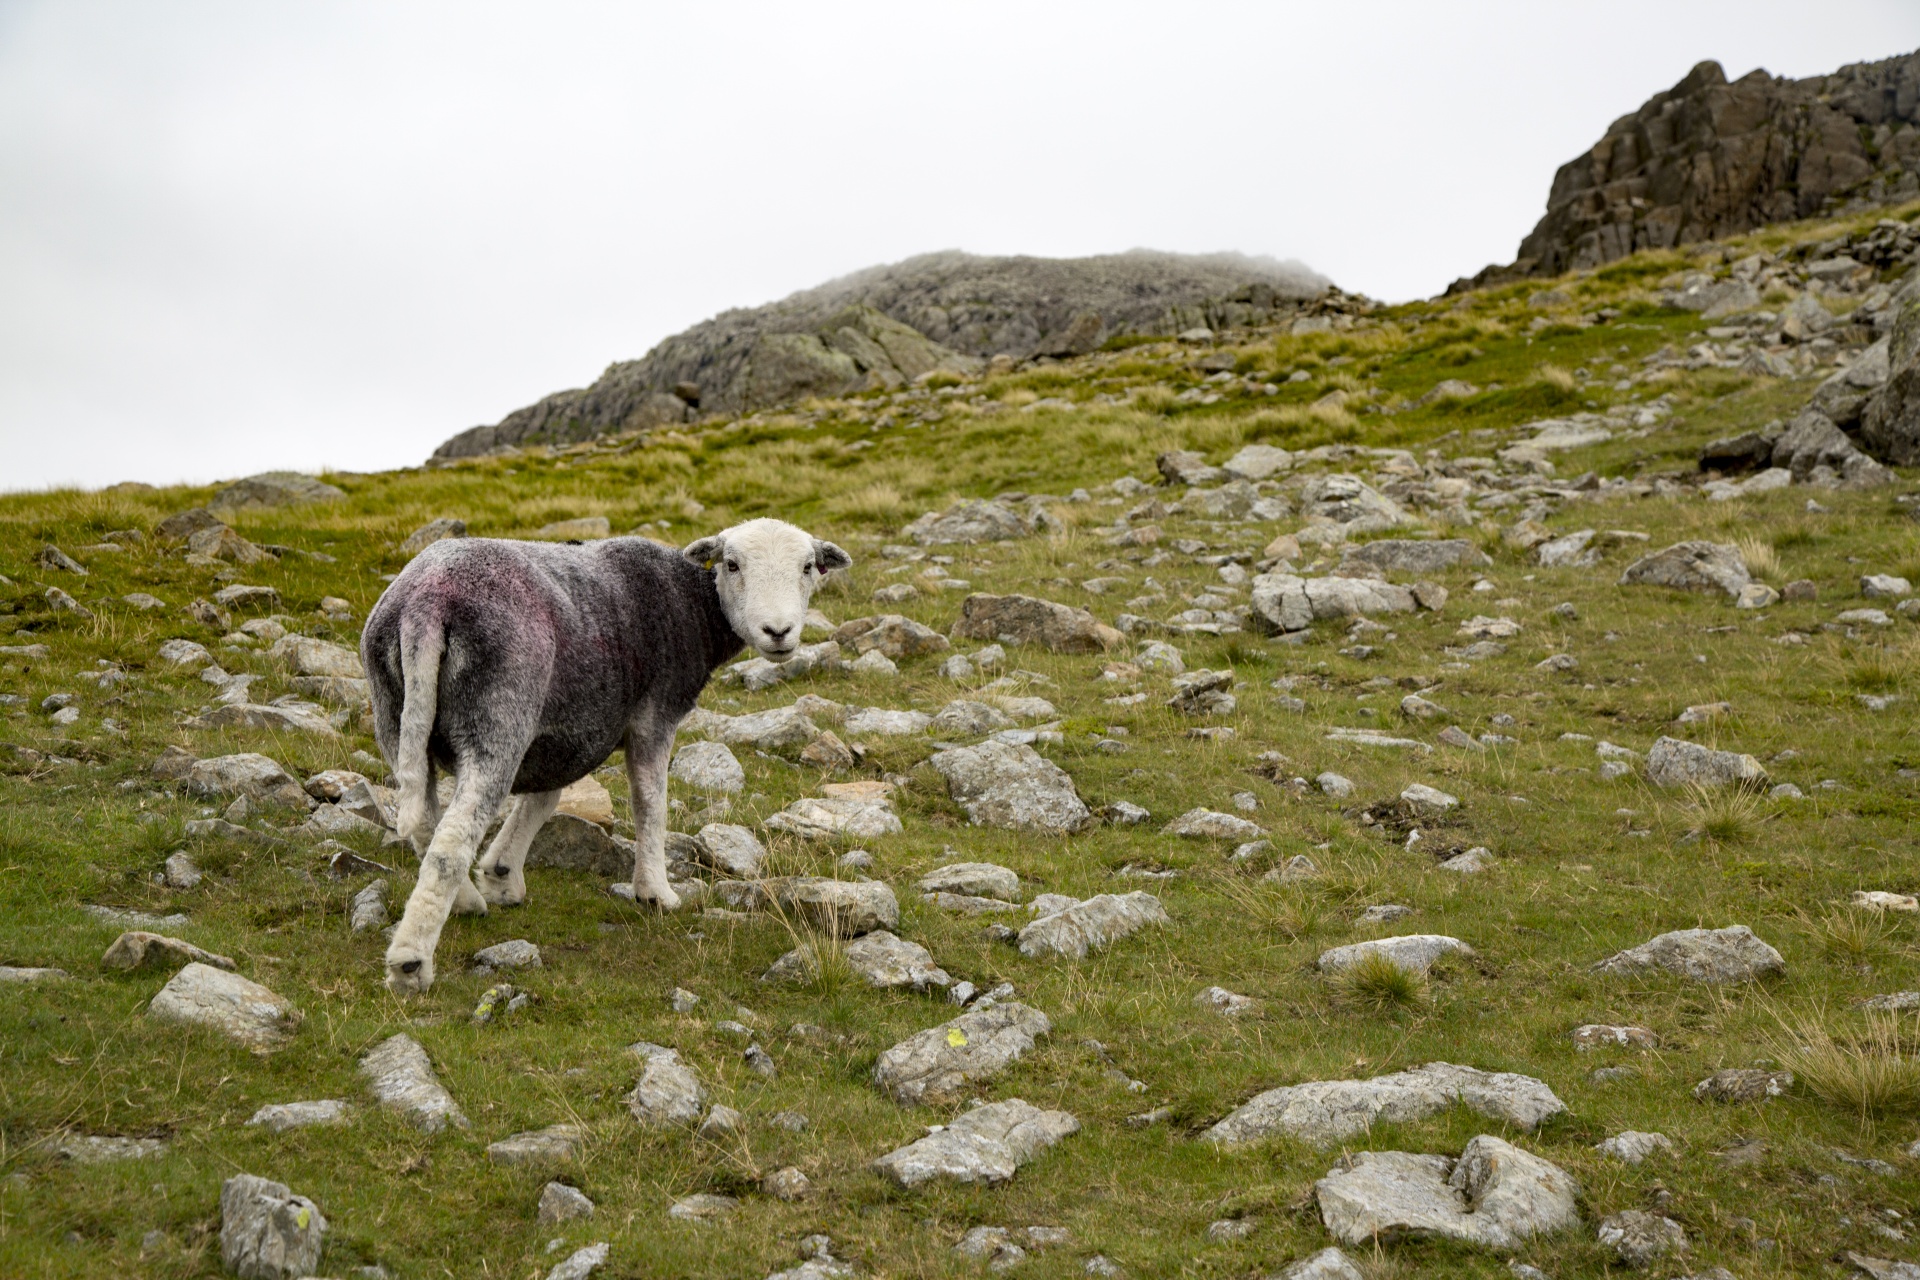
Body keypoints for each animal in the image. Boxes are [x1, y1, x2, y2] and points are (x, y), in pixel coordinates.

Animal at [360, 514, 848, 997]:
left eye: (808, 567)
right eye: (731, 564)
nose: (778, 633)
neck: (694, 605)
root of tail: (427, 602)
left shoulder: (561, 729)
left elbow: (545, 797)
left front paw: (502, 873)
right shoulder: (655, 715)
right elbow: (650, 802)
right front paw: (655, 891)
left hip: (395, 715)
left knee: (424, 823)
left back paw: (465, 900)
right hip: (499, 712)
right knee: (450, 840)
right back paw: (411, 961)